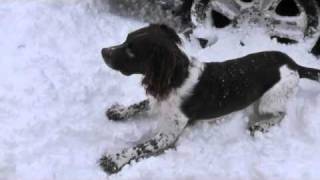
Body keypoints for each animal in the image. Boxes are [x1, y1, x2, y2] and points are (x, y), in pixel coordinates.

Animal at [100, 23, 320, 173]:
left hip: (269, 101)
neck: (177, 78)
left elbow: (142, 146)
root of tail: (295, 66)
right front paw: (118, 111)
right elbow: (140, 105)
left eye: (131, 50)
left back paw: (260, 125)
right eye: (126, 39)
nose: (103, 51)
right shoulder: (159, 101)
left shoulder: (168, 135)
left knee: (282, 114)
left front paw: (115, 159)